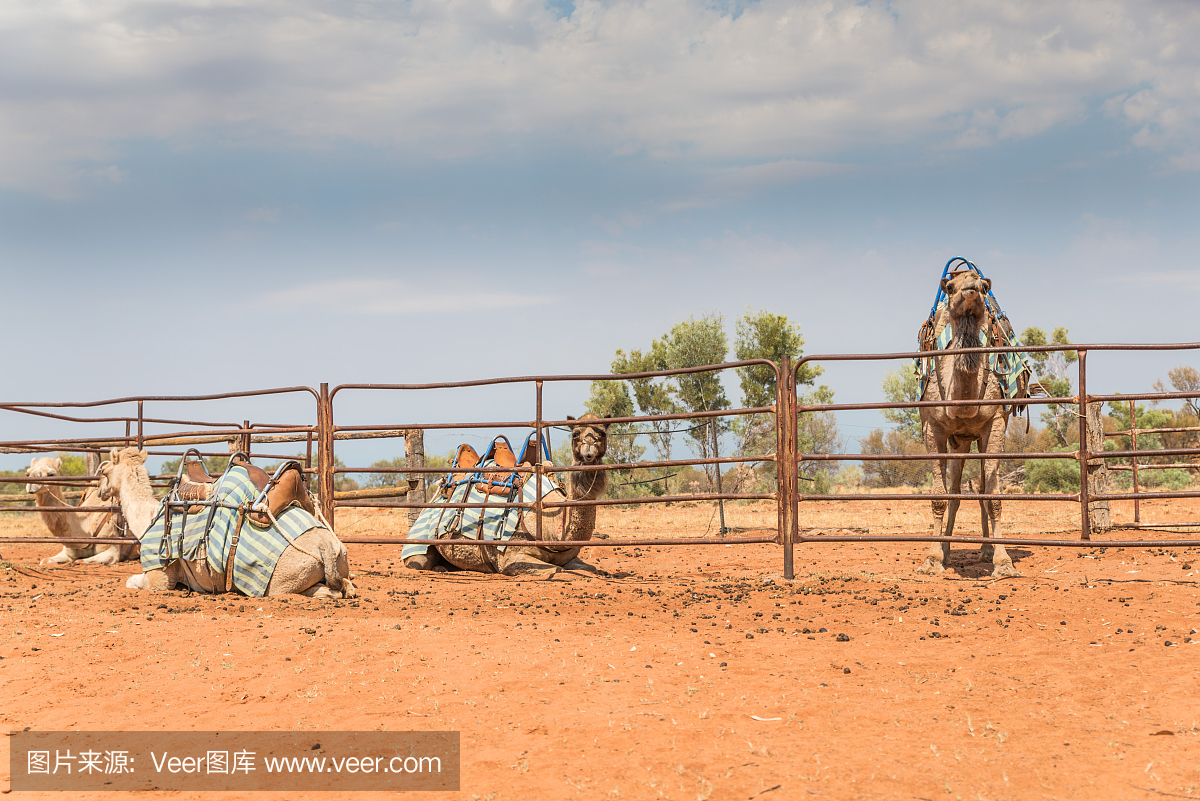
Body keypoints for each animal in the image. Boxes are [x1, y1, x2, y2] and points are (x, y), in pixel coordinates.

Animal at [99, 448, 352, 597]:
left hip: (280, 583)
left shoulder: (159, 577)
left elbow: (131, 581)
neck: (148, 517)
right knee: (346, 586)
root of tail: (326, 546)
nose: (100, 491)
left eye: (105, 471)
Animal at [403, 412, 609, 575]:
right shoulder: (510, 558)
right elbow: (558, 570)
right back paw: (440, 568)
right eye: (575, 434)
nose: (589, 450)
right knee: (419, 562)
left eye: (602, 433)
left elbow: (591, 568)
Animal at [912, 270, 1027, 575]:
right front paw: (932, 559)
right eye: (951, 287)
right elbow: (940, 496)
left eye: (984, 286)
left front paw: (1003, 562)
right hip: (959, 442)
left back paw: (986, 550)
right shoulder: (933, 428)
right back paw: (947, 552)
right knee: (954, 491)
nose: (971, 289)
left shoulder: (995, 423)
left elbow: (993, 496)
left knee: (982, 489)